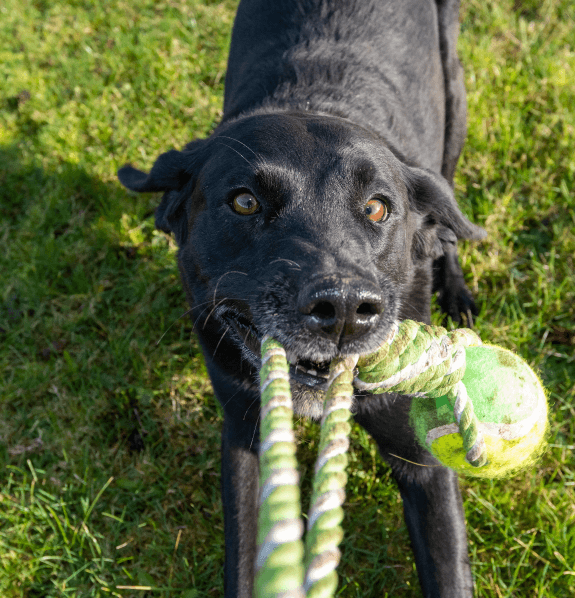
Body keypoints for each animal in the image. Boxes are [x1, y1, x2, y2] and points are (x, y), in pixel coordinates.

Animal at [120, 2, 486, 596]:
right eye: (244, 202)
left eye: (378, 207)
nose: (344, 310)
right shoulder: (247, 431)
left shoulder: (422, 460)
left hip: (454, 102)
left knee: (451, 217)